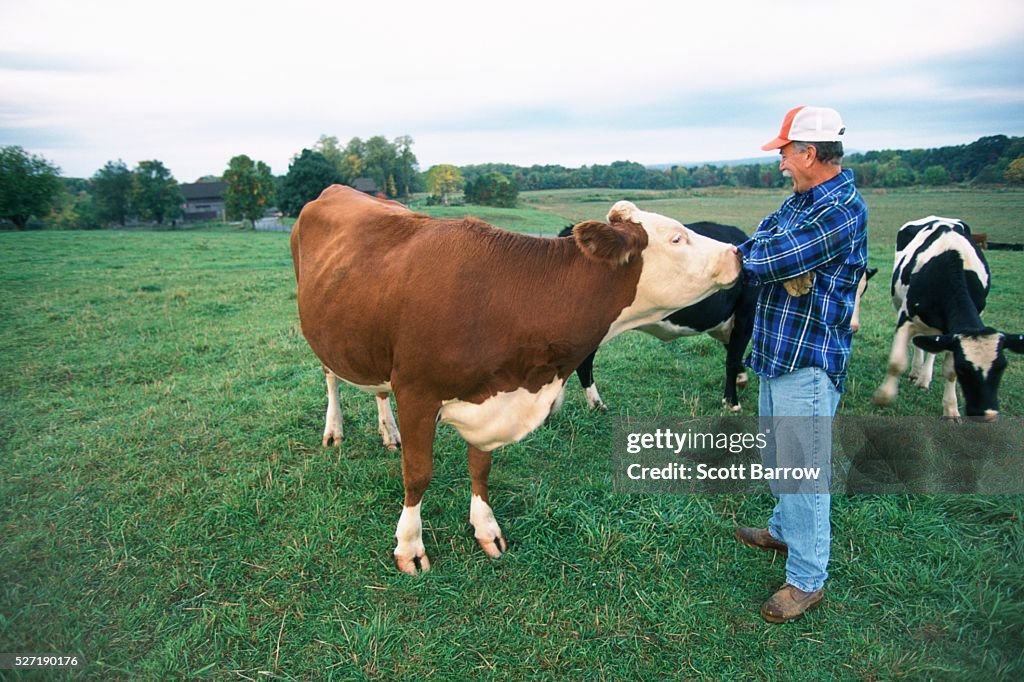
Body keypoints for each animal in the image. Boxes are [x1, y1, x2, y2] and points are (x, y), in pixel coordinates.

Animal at [292, 183, 741, 569]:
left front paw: (486, 529)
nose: (738, 252)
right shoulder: (416, 391)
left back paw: (388, 432)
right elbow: (417, 475)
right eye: (677, 238)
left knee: (377, 389)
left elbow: (480, 468)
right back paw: (334, 430)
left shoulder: (491, 394)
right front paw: (409, 546)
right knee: (331, 378)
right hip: (325, 332)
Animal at [561, 219, 761, 409]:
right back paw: (597, 404)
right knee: (584, 363)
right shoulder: (746, 315)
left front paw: (741, 379)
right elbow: (732, 359)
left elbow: (732, 353)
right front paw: (732, 402)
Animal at [872, 216, 1024, 419]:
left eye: (1001, 368)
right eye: (965, 369)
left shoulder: (952, 333)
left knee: (930, 348)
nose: (985, 413)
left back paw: (923, 379)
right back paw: (916, 372)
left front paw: (951, 410)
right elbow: (896, 362)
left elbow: (949, 371)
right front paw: (883, 397)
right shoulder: (905, 317)